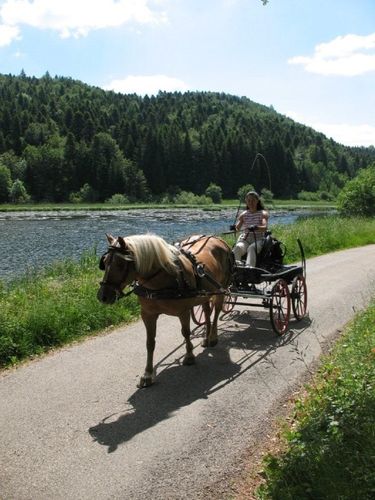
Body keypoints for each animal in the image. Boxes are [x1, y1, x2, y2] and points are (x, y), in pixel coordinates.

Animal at [97, 232, 232, 388]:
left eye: (120, 264)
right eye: (104, 261)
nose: (103, 296)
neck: (162, 279)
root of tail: (219, 239)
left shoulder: (183, 311)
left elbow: (185, 333)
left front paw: (189, 356)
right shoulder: (148, 315)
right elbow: (150, 343)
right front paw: (148, 374)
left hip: (221, 289)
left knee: (216, 312)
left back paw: (213, 337)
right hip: (204, 294)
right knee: (207, 312)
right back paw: (206, 337)